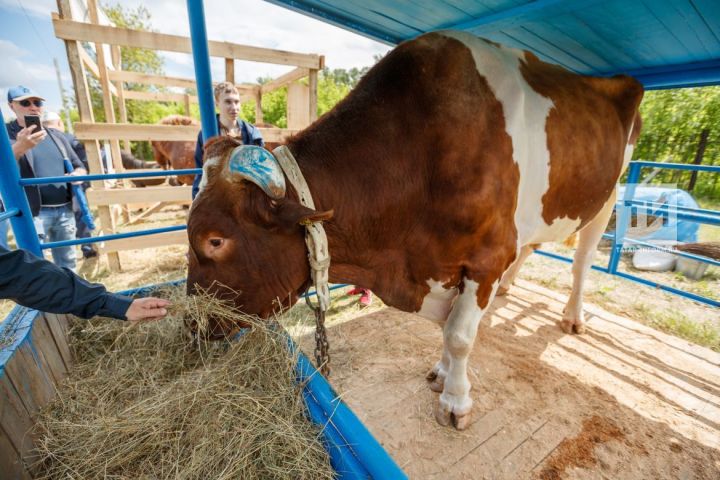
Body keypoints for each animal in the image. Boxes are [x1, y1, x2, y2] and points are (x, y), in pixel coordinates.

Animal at [186, 31, 640, 430]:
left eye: (215, 239)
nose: (192, 325)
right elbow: (448, 328)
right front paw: (442, 372)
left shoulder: (486, 259)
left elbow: (460, 335)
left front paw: (456, 400)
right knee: (530, 247)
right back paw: (511, 287)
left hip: (608, 195)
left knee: (582, 260)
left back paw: (573, 316)